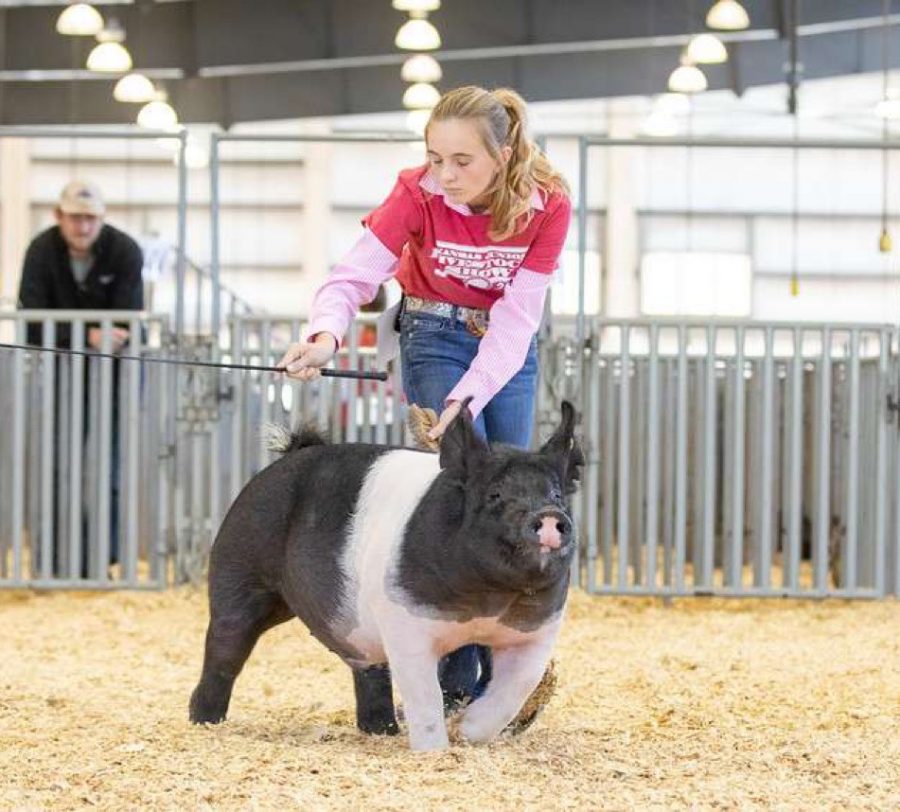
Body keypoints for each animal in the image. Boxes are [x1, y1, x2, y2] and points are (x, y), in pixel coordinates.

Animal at [190, 400, 584, 748]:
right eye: (495, 494)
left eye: (556, 494)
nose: (549, 515)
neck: (488, 601)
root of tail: (287, 456)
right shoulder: (405, 624)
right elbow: (424, 695)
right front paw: (435, 749)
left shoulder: (536, 631)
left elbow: (515, 689)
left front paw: (466, 733)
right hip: (240, 573)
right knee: (225, 648)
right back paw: (203, 721)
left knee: (368, 669)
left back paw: (382, 731)